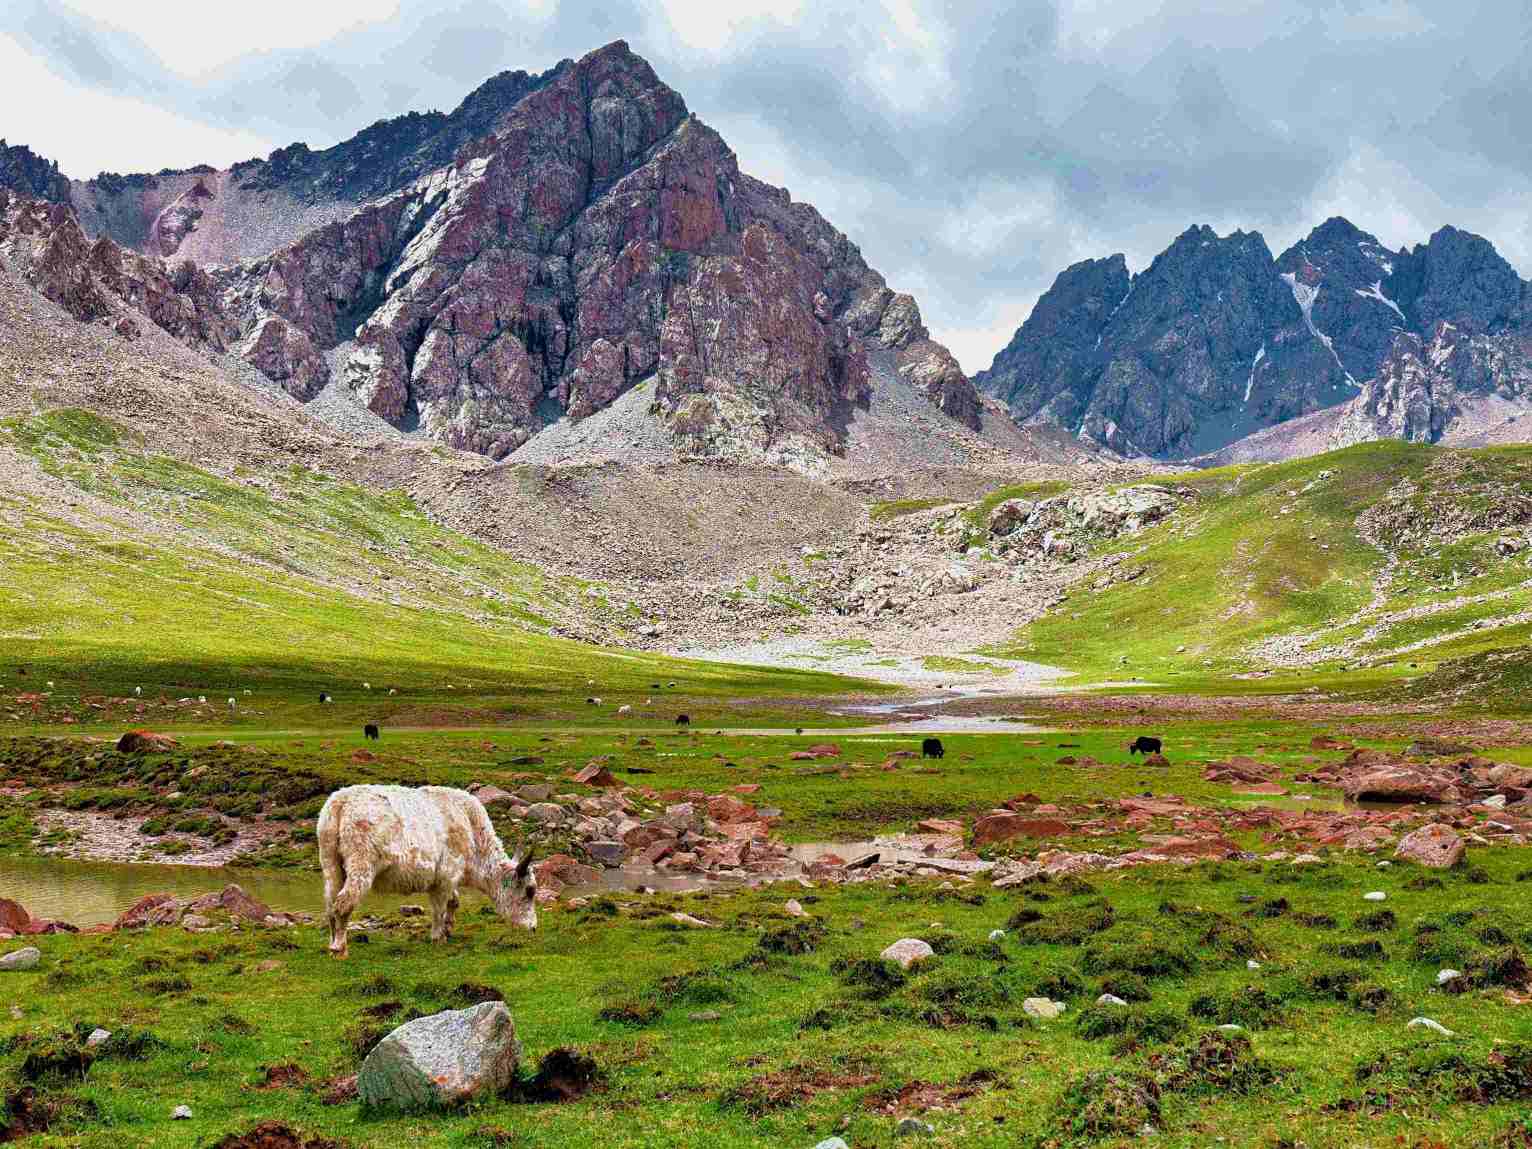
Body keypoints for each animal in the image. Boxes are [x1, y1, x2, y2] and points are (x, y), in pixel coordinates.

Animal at [316, 784, 537, 957]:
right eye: (529, 891)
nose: (533, 927)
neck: (472, 830)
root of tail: (341, 801)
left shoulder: (449, 877)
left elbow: (453, 901)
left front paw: (449, 929)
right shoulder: (446, 875)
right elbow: (439, 908)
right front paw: (438, 937)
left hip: (331, 866)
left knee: (330, 904)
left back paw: (331, 943)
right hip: (361, 865)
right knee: (344, 903)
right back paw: (339, 948)